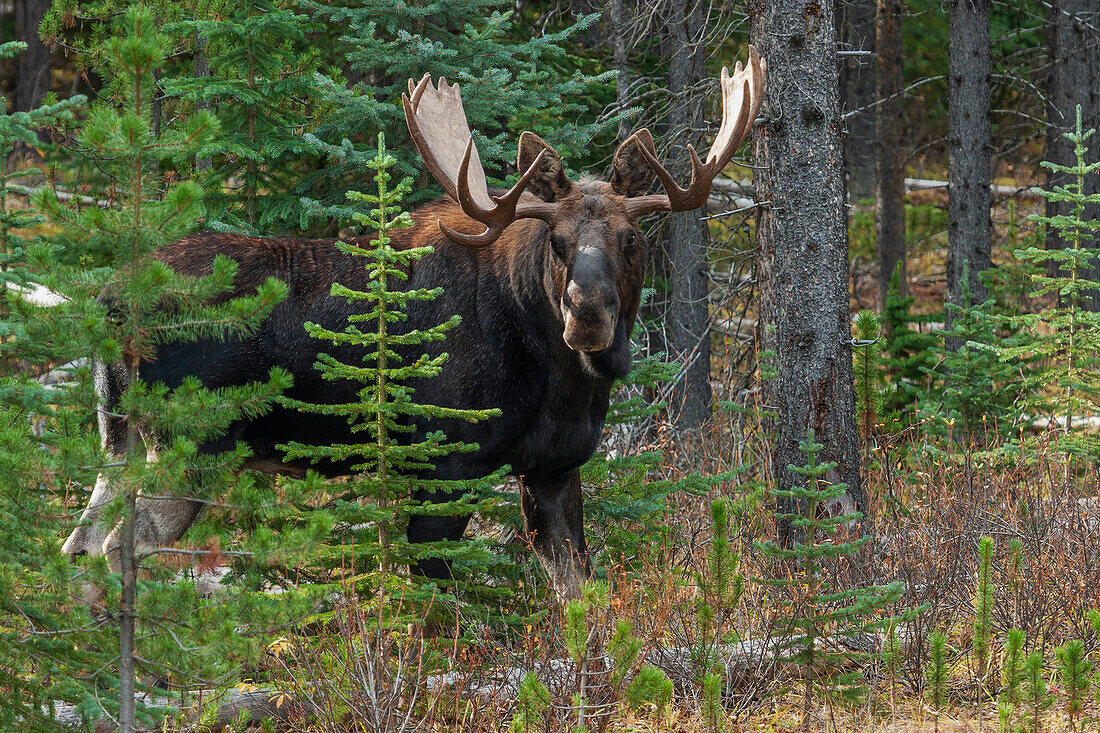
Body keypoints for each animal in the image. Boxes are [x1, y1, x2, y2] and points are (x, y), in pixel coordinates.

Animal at [60, 45, 765, 598]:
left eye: (631, 239)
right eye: (557, 241)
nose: (587, 314)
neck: (562, 379)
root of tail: (108, 302)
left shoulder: (555, 466)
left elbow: (578, 594)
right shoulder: (443, 464)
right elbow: (434, 598)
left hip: (119, 439)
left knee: (78, 543)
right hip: (190, 444)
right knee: (117, 545)